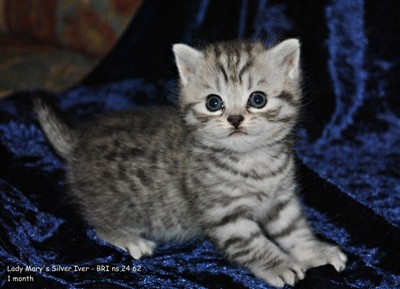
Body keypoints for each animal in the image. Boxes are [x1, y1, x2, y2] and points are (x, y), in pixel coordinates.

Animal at [35, 38, 346, 288]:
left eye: (257, 99)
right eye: (214, 103)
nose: (235, 119)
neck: (252, 161)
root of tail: (77, 146)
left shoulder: (282, 200)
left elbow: (295, 231)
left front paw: (315, 251)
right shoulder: (225, 215)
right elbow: (253, 244)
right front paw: (279, 264)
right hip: (115, 206)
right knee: (99, 224)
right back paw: (129, 238)